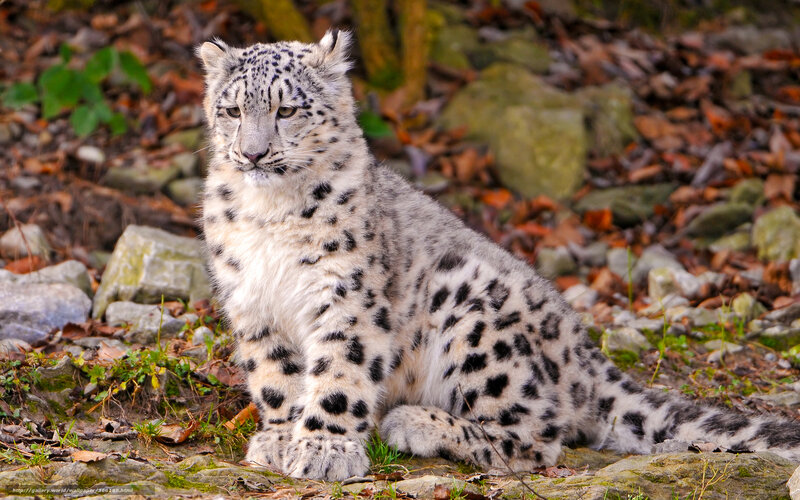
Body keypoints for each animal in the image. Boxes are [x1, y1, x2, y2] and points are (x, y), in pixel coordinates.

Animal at [197, 30, 800, 481]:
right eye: (231, 110)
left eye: (287, 109)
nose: (252, 152)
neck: (270, 215)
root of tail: (584, 352)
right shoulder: (252, 301)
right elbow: (275, 376)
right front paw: (280, 438)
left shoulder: (346, 297)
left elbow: (340, 373)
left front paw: (324, 450)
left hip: (472, 314)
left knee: (537, 436)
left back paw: (416, 424)